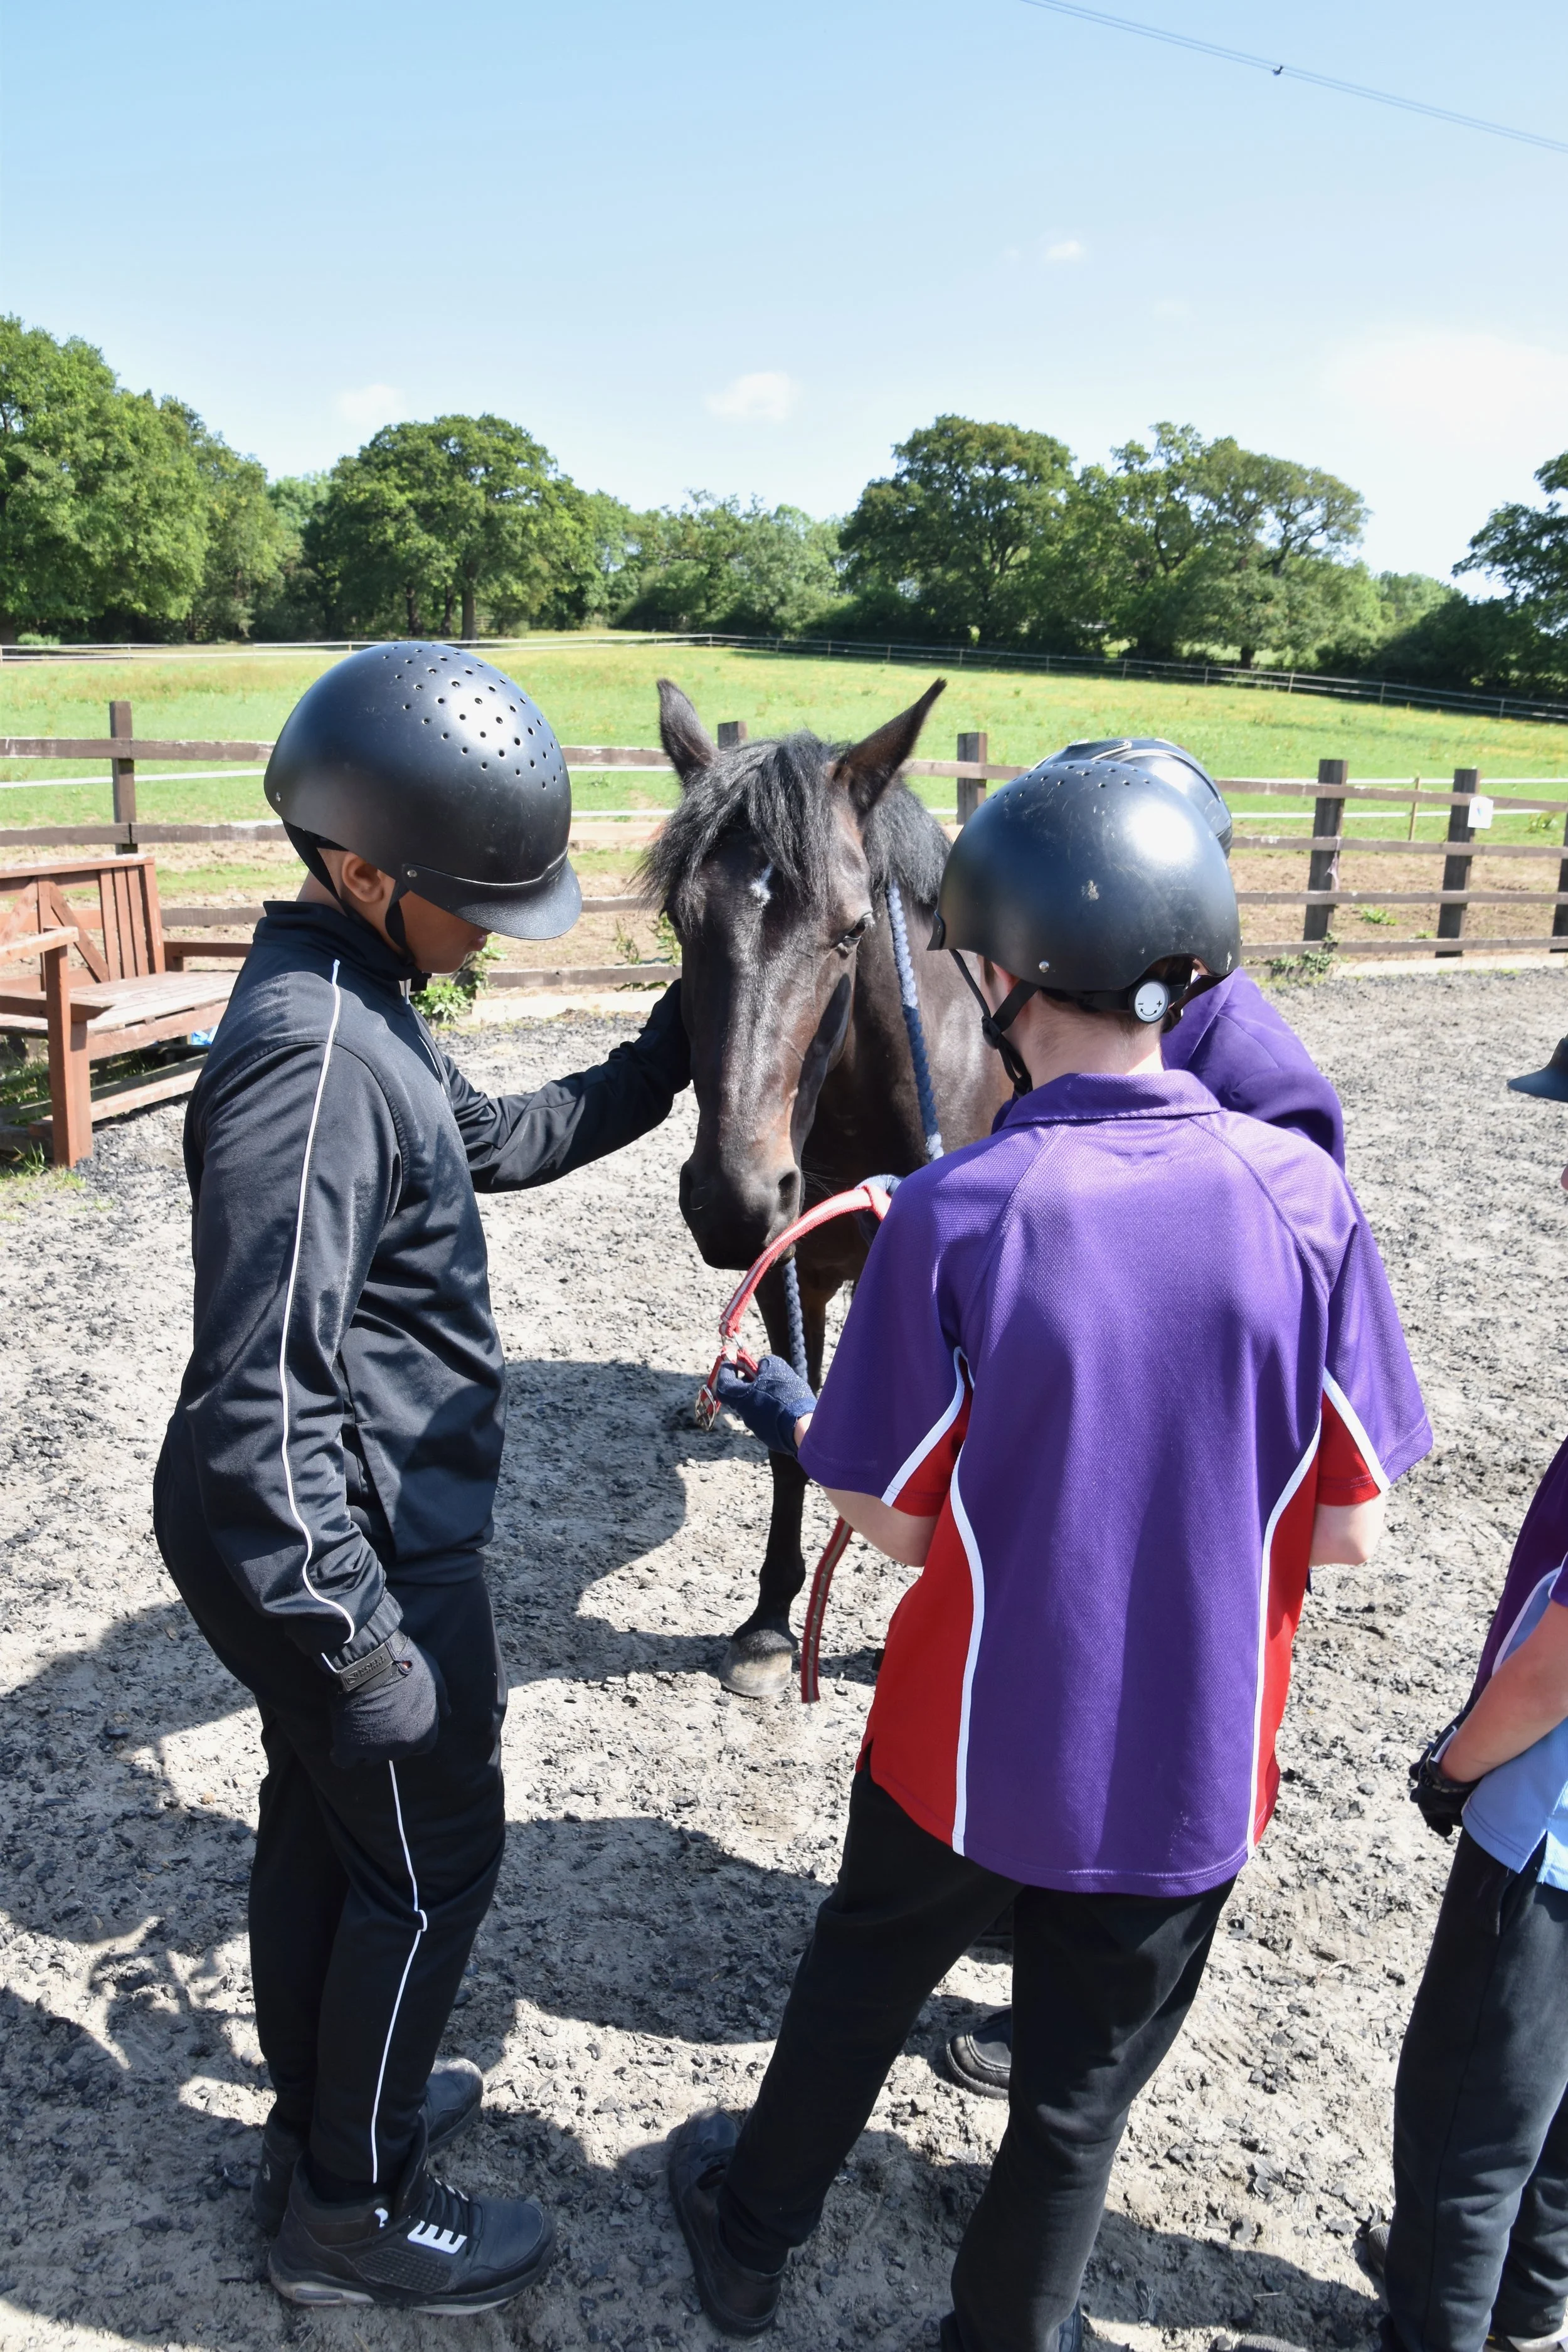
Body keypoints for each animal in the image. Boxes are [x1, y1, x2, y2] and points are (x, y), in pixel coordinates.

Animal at [643, 676, 1010, 1698]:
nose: (730, 1196)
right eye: (679, 923)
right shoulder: (789, 1268)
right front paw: (770, 1618)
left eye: (851, 932)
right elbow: (788, 1437)